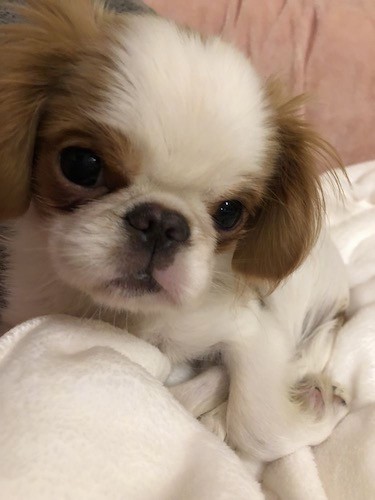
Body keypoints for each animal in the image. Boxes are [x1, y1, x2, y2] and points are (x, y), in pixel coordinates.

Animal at [0, 0, 352, 466]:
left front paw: (320, 408)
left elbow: (256, 427)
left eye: (229, 212)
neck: (123, 315)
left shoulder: (252, 329)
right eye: (81, 164)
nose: (162, 223)